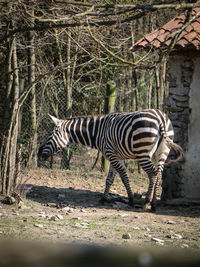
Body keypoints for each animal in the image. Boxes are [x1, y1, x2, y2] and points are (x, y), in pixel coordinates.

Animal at [38, 109, 184, 211]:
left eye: (50, 135)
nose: (39, 153)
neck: (98, 131)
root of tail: (160, 118)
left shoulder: (111, 154)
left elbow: (124, 177)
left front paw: (131, 199)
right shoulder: (115, 156)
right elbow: (110, 179)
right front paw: (103, 198)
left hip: (142, 152)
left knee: (152, 174)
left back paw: (146, 203)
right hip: (163, 151)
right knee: (159, 174)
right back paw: (153, 205)